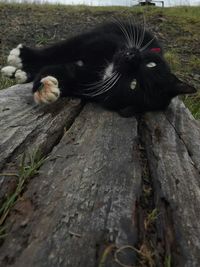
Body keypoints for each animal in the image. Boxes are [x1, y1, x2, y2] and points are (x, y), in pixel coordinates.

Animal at [0, 20, 196, 116]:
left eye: (134, 85)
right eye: (151, 64)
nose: (132, 57)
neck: (104, 68)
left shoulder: (85, 83)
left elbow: (61, 72)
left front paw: (45, 89)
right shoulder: (94, 41)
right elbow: (57, 51)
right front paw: (22, 56)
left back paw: (21, 74)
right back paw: (17, 69)